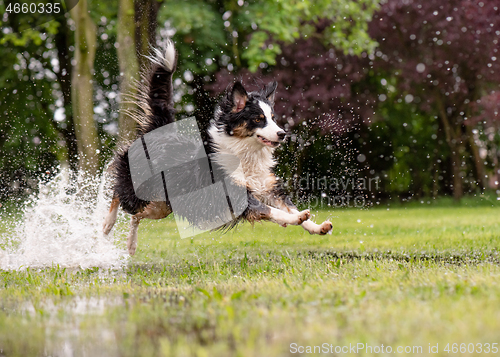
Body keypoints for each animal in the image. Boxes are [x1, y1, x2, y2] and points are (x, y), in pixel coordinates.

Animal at [102, 40, 332, 254]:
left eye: (273, 118)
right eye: (259, 119)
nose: (282, 134)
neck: (244, 153)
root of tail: (159, 132)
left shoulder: (267, 187)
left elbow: (289, 207)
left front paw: (316, 226)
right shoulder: (236, 195)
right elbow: (272, 211)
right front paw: (296, 219)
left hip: (161, 206)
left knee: (136, 216)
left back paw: (131, 244)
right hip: (139, 190)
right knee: (118, 193)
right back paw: (107, 224)